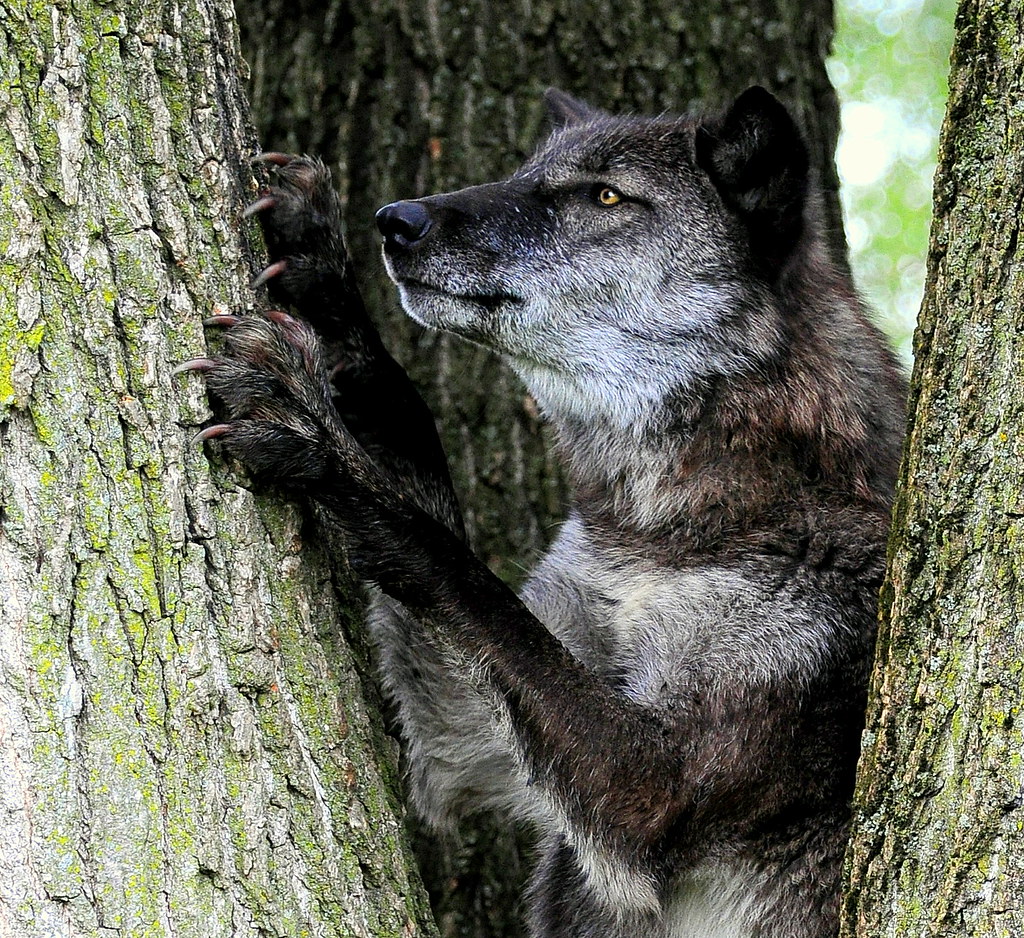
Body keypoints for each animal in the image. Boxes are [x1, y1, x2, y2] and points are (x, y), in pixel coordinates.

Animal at [182, 87, 907, 937]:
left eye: (606, 196)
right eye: (524, 175)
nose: (397, 220)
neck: (663, 530)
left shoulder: (654, 787)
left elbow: (461, 573)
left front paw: (315, 436)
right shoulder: (469, 736)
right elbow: (416, 448)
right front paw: (324, 273)